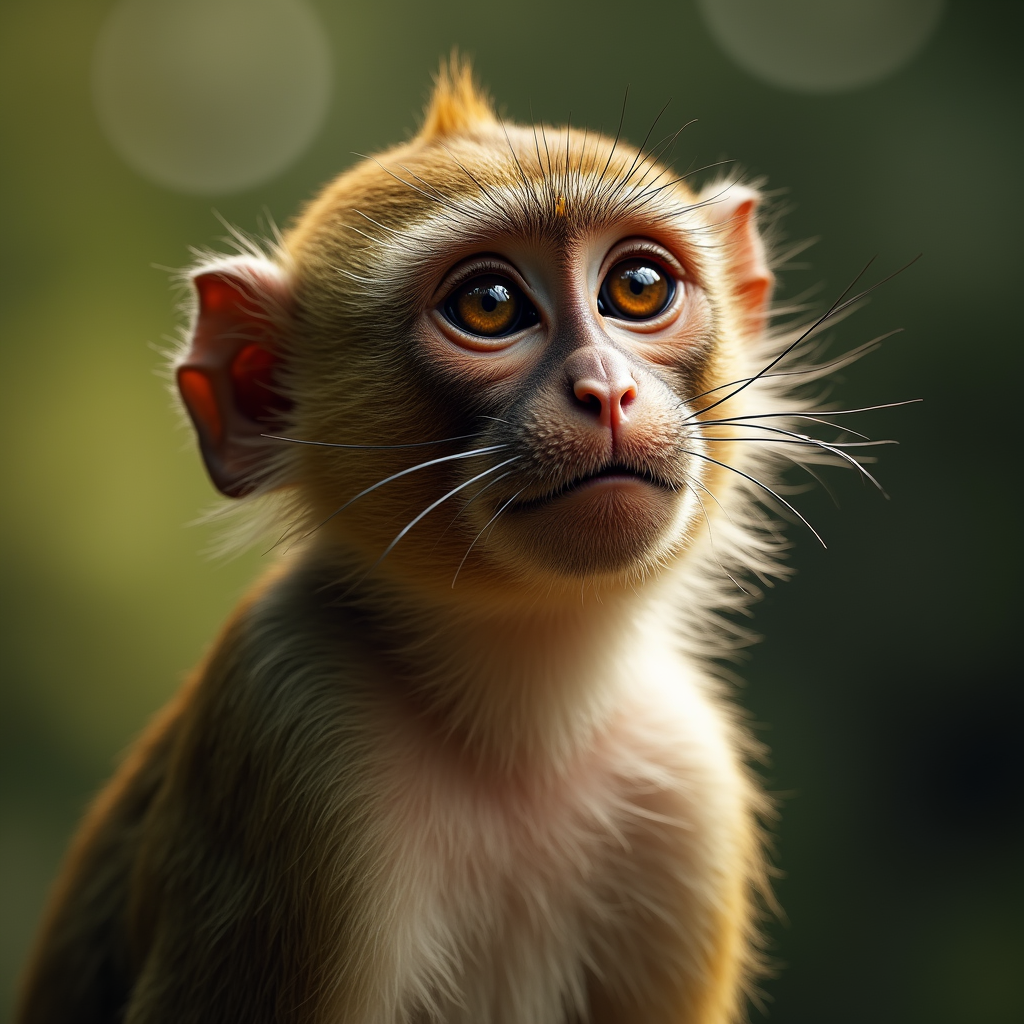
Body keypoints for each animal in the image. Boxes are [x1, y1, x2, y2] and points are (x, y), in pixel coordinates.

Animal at [16, 58, 894, 1024]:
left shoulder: (687, 780)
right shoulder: (289, 725)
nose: (607, 390)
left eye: (637, 286)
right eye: (490, 303)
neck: (516, 734)